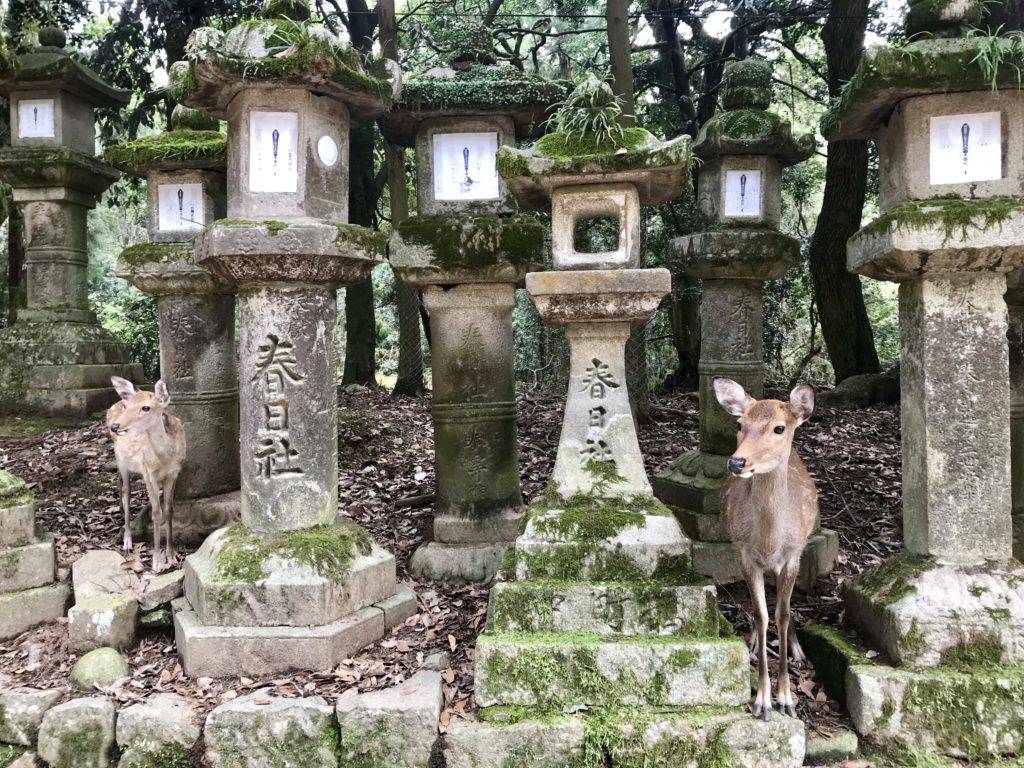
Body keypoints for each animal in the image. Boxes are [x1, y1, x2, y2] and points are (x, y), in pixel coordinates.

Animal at [108, 376, 188, 573]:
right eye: (128, 406)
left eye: (146, 407)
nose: (115, 426)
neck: (165, 458)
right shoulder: (148, 474)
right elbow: (156, 513)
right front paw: (157, 562)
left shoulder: (174, 474)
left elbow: (169, 510)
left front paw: (171, 556)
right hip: (121, 461)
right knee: (126, 493)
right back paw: (127, 541)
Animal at [712, 382, 815, 724]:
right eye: (739, 424)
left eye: (779, 428)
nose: (737, 462)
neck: (770, 540)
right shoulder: (745, 555)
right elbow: (761, 614)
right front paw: (763, 702)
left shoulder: (793, 555)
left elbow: (783, 614)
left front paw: (787, 700)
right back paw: (756, 643)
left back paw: (798, 651)